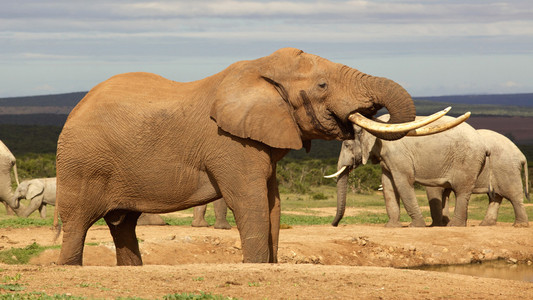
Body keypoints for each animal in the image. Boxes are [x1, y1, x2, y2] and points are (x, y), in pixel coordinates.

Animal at [55, 47, 462, 264]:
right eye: (322, 85)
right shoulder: (230, 142)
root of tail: (74, 110)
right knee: (78, 224)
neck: (260, 67)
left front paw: (271, 265)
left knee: (122, 225)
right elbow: (249, 202)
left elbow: (272, 203)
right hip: (80, 164)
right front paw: (254, 265)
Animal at [328, 115, 486, 227]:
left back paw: (455, 225)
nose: (334, 224)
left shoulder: (397, 154)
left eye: (347, 145)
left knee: (461, 190)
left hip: (467, 160)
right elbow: (388, 184)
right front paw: (391, 227)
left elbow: (402, 182)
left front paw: (415, 226)